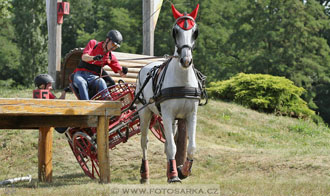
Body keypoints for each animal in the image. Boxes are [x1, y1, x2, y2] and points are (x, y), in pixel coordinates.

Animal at [137, 3, 201, 183]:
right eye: (175, 31)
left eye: (195, 31)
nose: (186, 60)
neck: (182, 80)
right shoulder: (167, 114)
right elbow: (172, 147)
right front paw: (173, 175)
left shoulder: (190, 115)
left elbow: (190, 146)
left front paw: (183, 171)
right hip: (145, 112)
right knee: (144, 142)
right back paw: (145, 174)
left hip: (171, 121)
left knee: (167, 142)